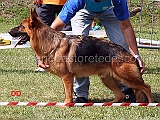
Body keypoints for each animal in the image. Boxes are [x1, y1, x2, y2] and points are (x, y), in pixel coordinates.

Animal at [8, 9, 154, 103]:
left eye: (21, 26)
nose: (9, 31)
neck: (52, 44)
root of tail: (129, 53)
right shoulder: (67, 78)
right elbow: (68, 92)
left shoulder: (67, 77)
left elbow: (68, 94)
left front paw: (66, 105)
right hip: (108, 79)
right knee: (120, 95)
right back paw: (109, 104)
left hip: (126, 77)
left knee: (146, 87)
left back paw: (151, 104)